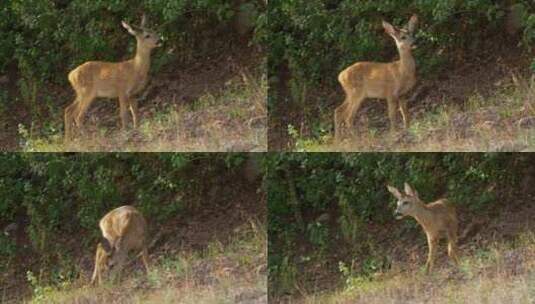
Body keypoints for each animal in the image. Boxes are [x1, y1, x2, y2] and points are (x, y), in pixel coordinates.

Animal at [336, 14, 418, 142]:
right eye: (403, 37)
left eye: (413, 33)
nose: (415, 42)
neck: (402, 71)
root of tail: (340, 76)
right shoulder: (391, 93)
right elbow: (392, 115)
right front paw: (393, 134)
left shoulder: (403, 94)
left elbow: (405, 113)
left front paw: (407, 130)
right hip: (356, 93)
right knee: (348, 116)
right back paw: (356, 139)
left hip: (349, 93)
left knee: (338, 111)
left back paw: (338, 139)